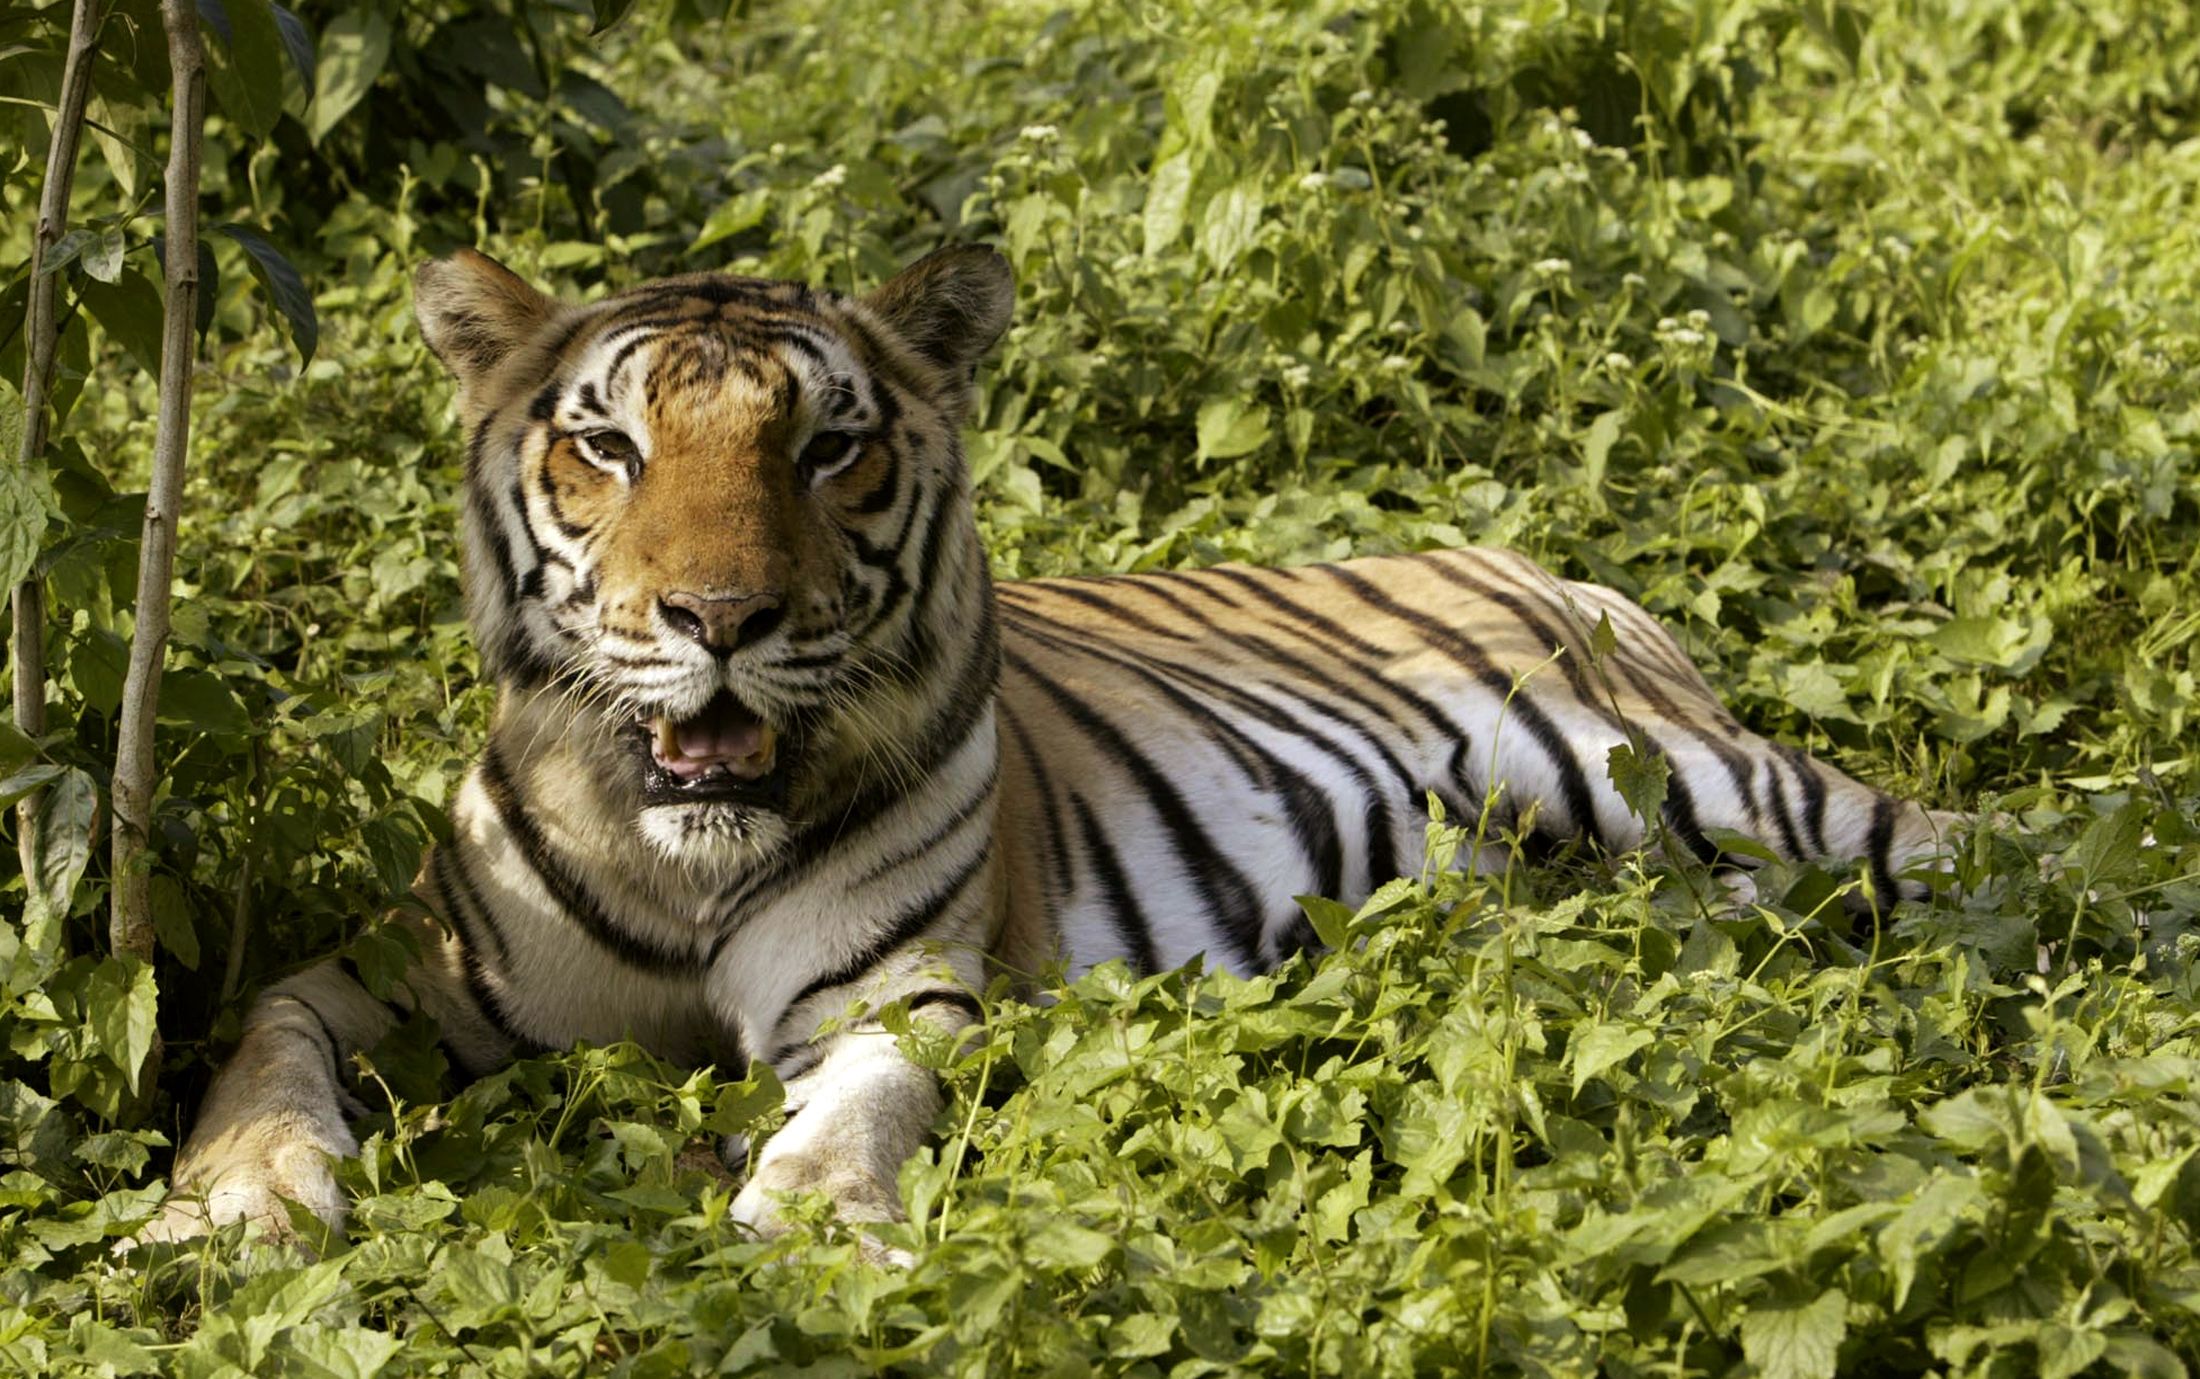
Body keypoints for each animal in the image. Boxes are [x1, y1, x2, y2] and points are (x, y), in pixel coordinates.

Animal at [137, 245, 1962, 1249]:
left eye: (831, 447)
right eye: (606, 446)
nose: (717, 615)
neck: (679, 860)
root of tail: (1530, 556)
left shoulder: (897, 991)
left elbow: (855, 1115)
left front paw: (818, 1227)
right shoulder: (400, 966)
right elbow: (259, 1048)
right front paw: (227, 1206)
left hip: (1700, 777)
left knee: (1958, 843)